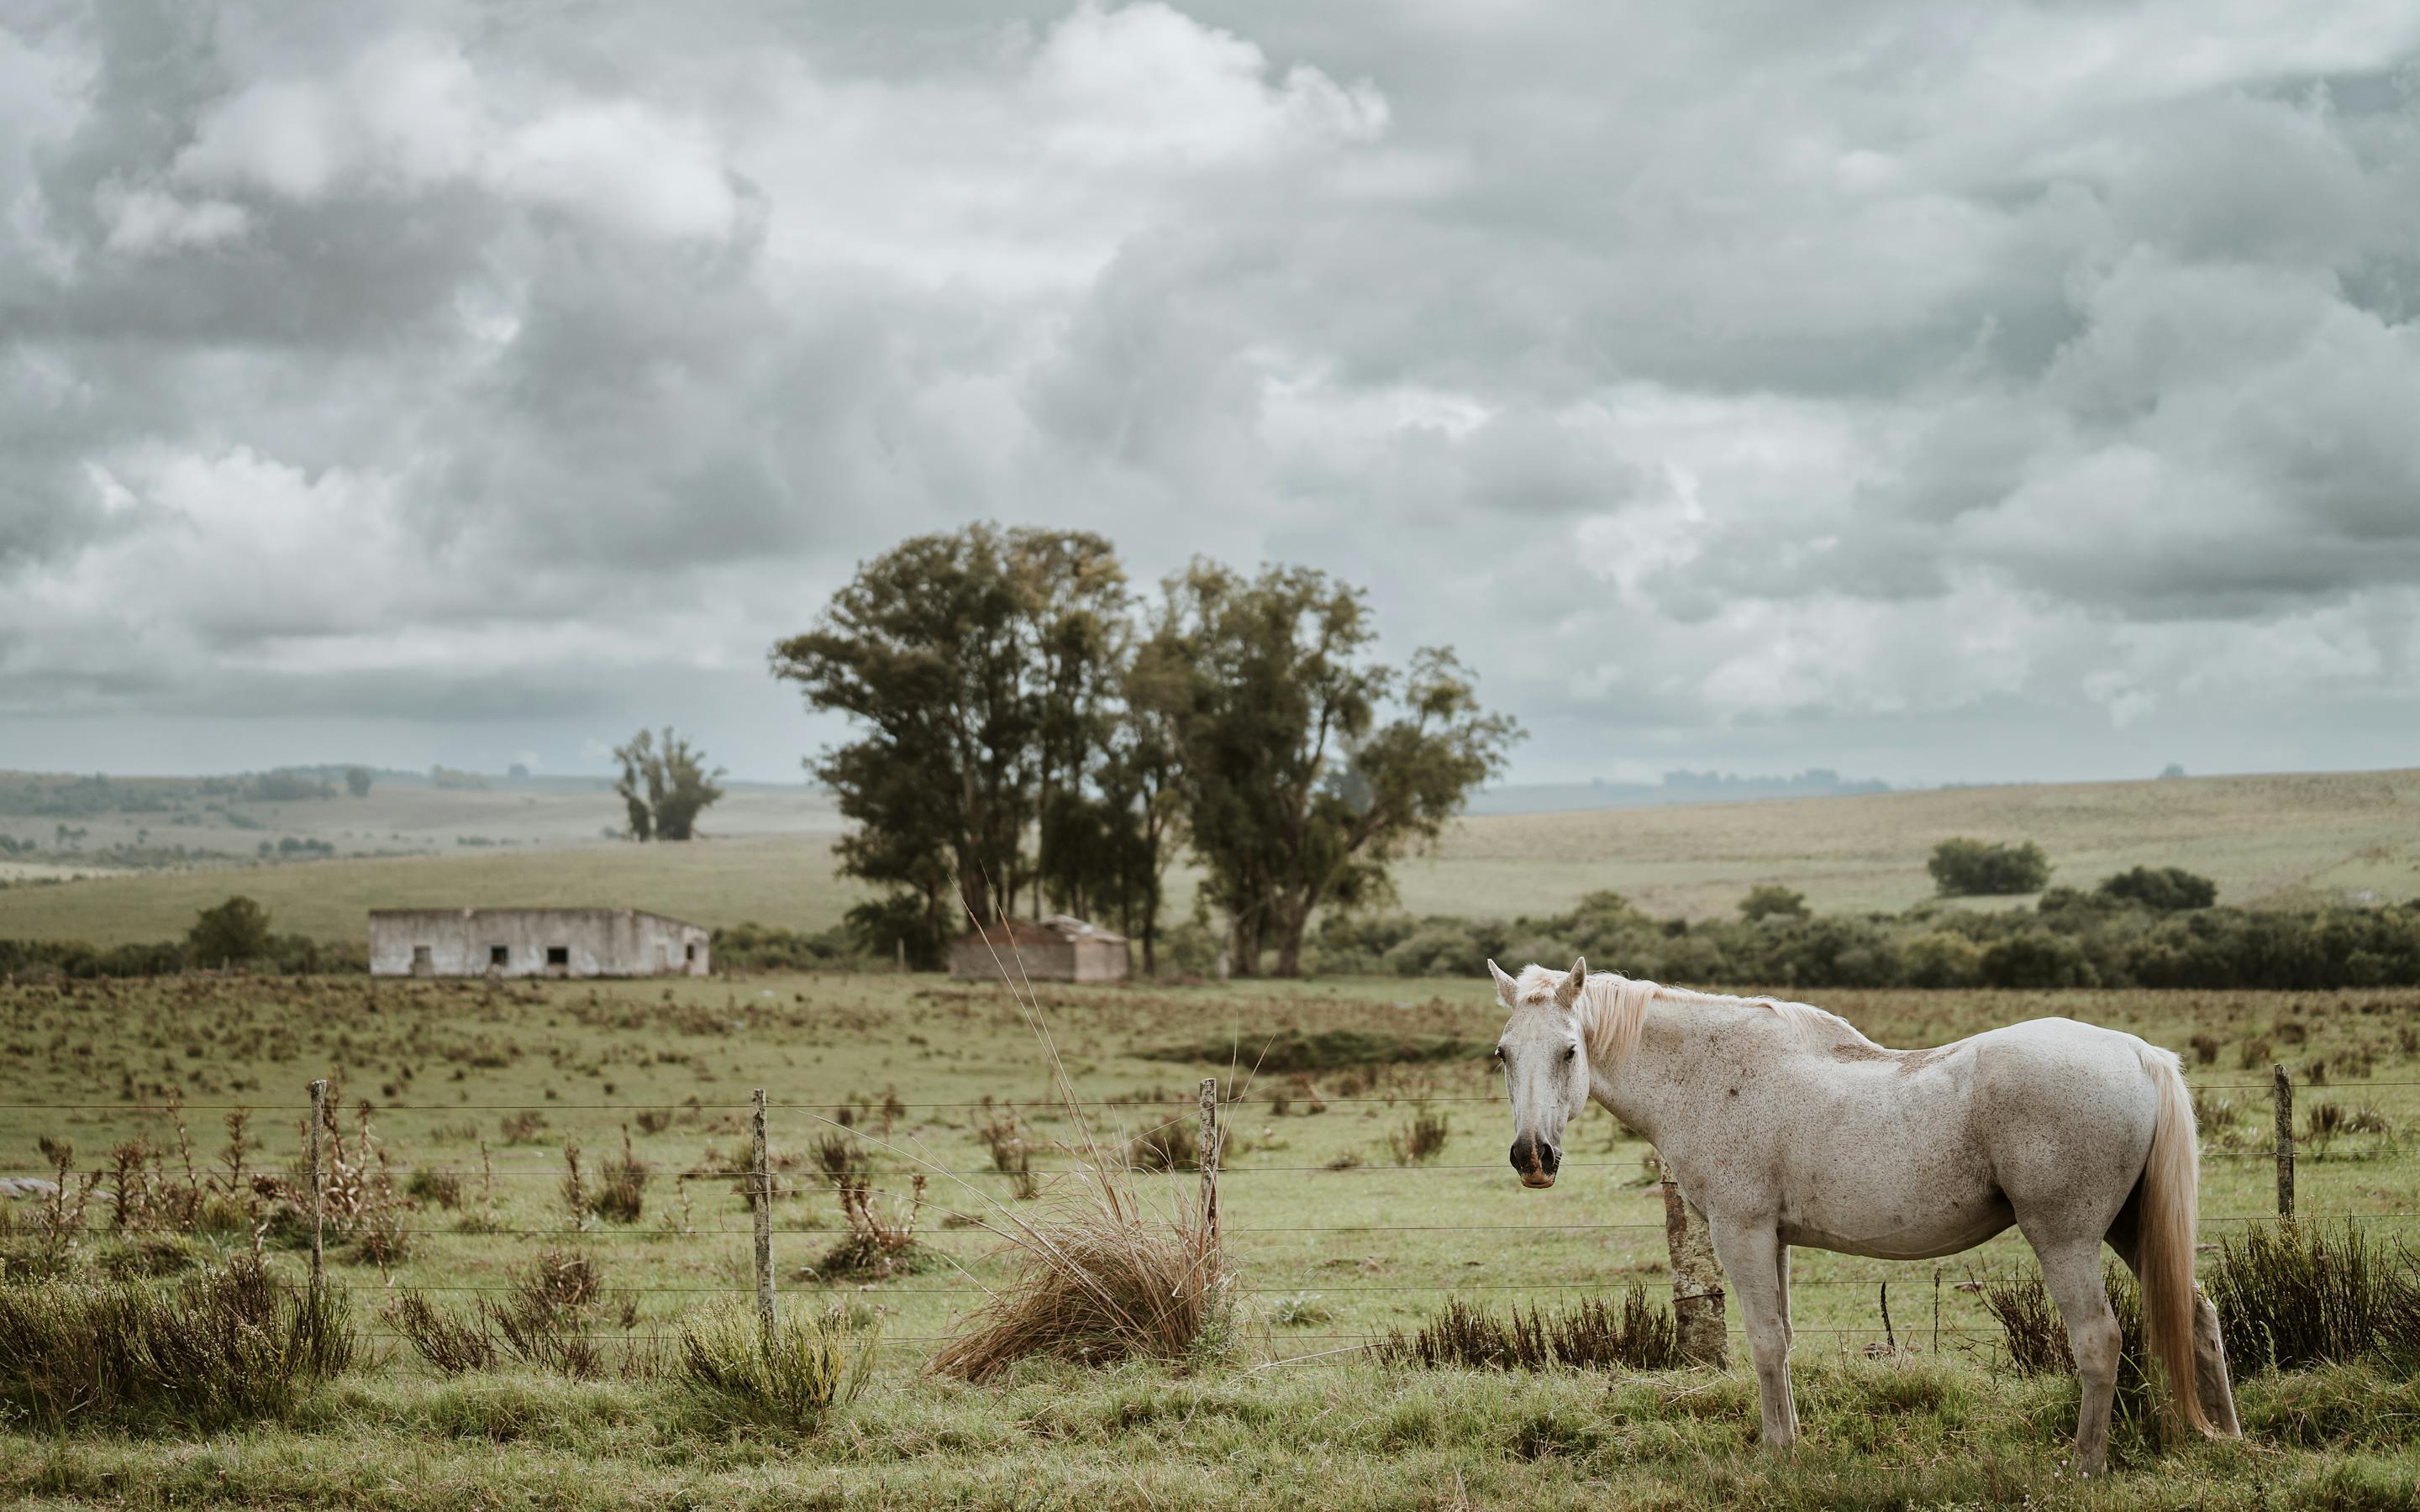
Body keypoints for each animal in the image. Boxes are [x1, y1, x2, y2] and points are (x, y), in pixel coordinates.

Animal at [1486, 956, 2241, 1474]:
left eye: (1570, 1051)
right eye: (1503, 1054)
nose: (1532, 1157)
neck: (1711, 1073)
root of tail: (2137, 1054)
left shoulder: (1741, 1231)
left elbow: (1765, 1341)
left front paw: (1776, 1452)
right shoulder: (1774, 1238)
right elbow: (1784, 1339)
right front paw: (1792, 1441)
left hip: (2067, 1238)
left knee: (2098, 1340)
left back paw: (2084, 1465)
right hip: (2128, 1230)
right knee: (2198, 1314)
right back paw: (2226, 1437)